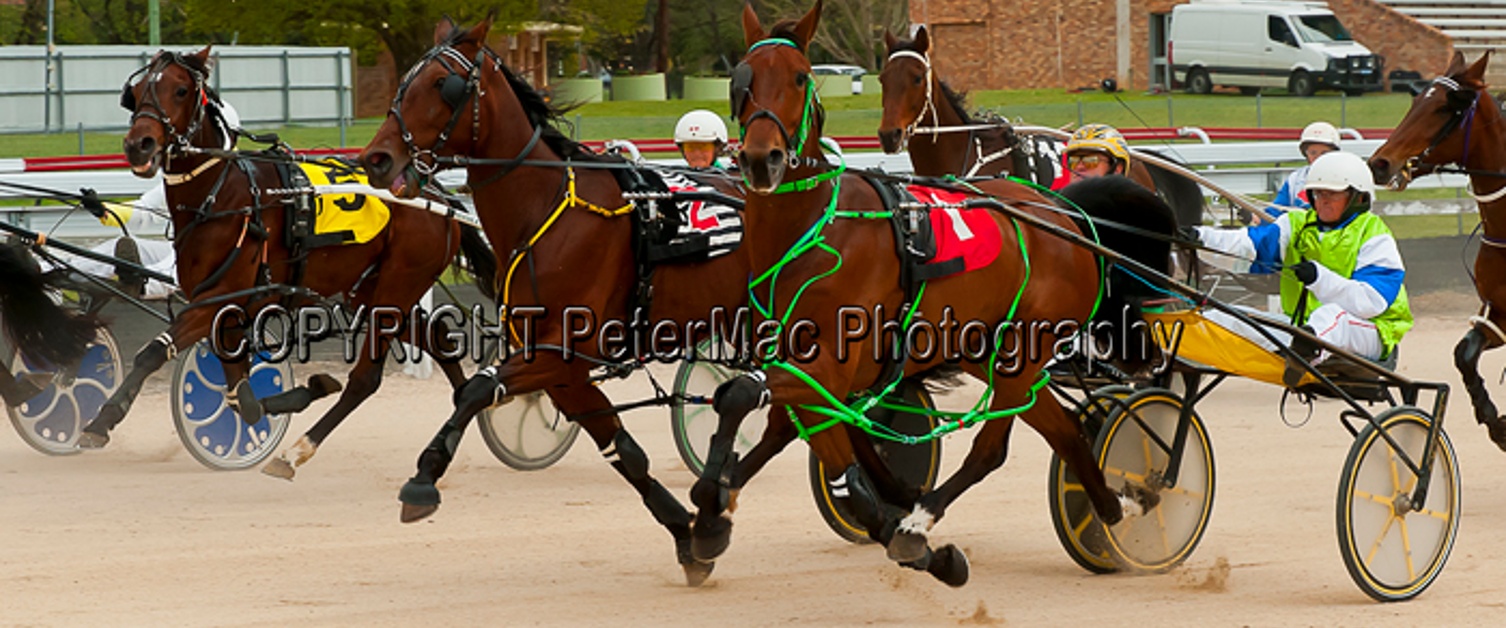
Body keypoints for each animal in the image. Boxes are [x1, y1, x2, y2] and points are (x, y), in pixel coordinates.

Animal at [77, 46, 493, 475]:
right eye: (137, 90)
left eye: (179, 90)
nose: (138, 144)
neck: (223, 198)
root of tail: (435, 195)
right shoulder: (226, 312)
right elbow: (240, 396)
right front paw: (298, 393)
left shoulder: (218, 299)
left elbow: (153, 353)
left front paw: (101, 421)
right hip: (372, 291)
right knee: (438, 340)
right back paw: (466, 409)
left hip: (397, 286)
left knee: (367, 378)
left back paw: (298, 450)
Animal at [356, 18, 819, 587]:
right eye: (405, 83)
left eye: (444, 85)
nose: (376, 159)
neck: (547, 212)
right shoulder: (564, 371)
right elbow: (625, 453)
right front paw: (688, 539)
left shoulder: (560, 352)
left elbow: (474, 392)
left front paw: (423, 479)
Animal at [689, 0, 1180, 584]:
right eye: (742, 78)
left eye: (801, 77)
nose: (761, 160)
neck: (814, 228)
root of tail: (1065, 214)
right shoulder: (808, 363)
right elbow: (777, 419)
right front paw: (710, 513)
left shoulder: (832, 364)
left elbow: (746, 398)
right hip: (988, 352)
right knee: (1062, 432)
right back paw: (1116, 507)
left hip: (1022, 352)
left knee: (994, 448)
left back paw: (922, 524)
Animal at [1367, 51, 1506, 448]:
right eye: (1415, 102)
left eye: (1447, 108)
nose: (1379, 163)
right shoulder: (1498, 313)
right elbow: (1464, 354)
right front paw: (1496, 423)